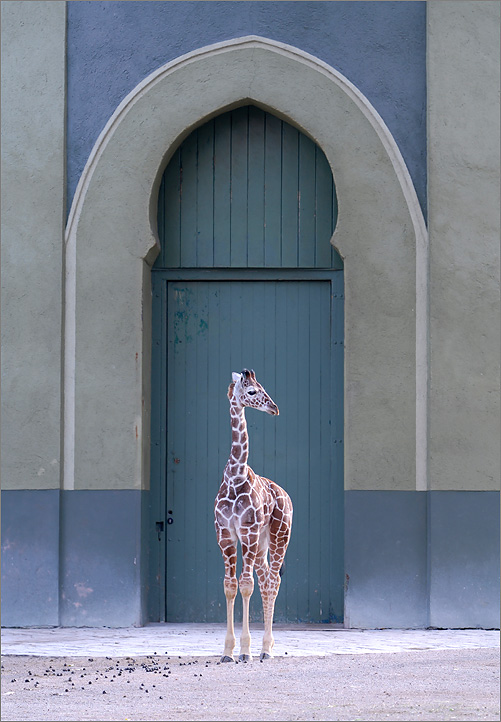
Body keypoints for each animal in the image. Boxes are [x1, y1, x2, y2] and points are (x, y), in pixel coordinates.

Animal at [212, 368, 292, 660]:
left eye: (262, 387)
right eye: (252, 391)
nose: (274, 408)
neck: (235, 478)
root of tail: (286, 495)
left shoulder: (246, 533)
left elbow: (246, 585)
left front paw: (244, 650)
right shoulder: (225, 534)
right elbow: (230, 586)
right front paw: (227, 651)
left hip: (279, 536)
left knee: (273, 581)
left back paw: (266, 649)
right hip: (261, 545)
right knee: (267, 578)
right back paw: (265, 648)